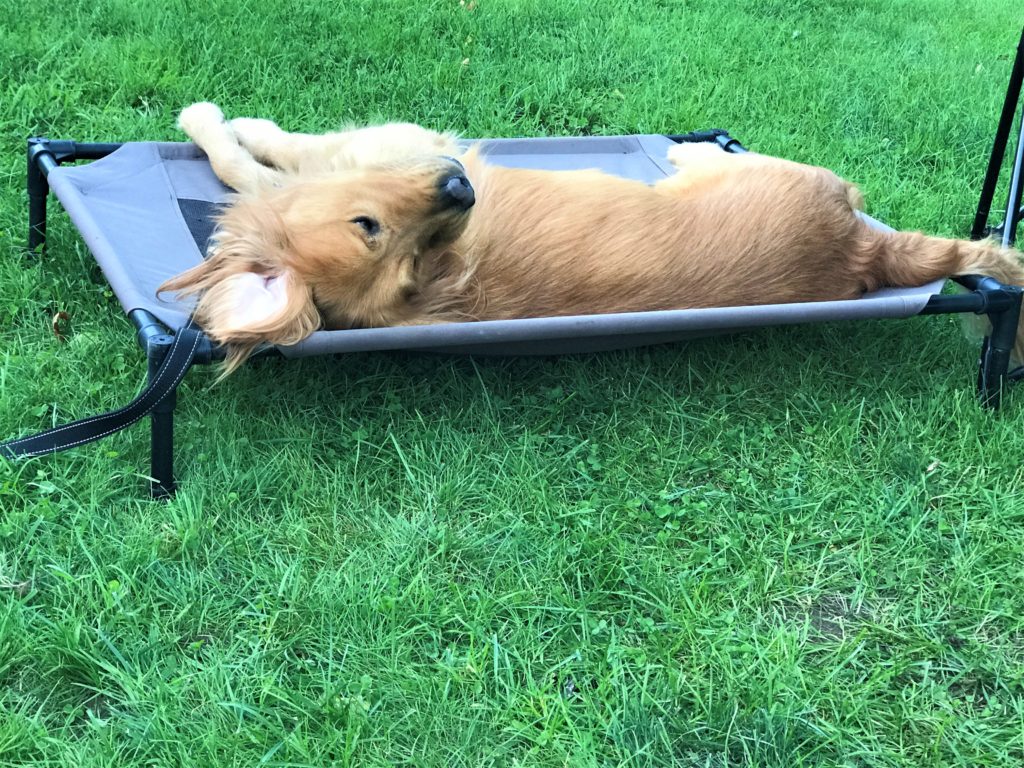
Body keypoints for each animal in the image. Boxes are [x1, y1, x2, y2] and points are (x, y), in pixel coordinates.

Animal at [159, 102, 1024, 376]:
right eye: (375, 232)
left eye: (410, 249)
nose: (462, 188)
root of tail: (867, 252)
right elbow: (246, 165)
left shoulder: (383, 143)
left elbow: (249, 153)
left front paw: (219, 123)